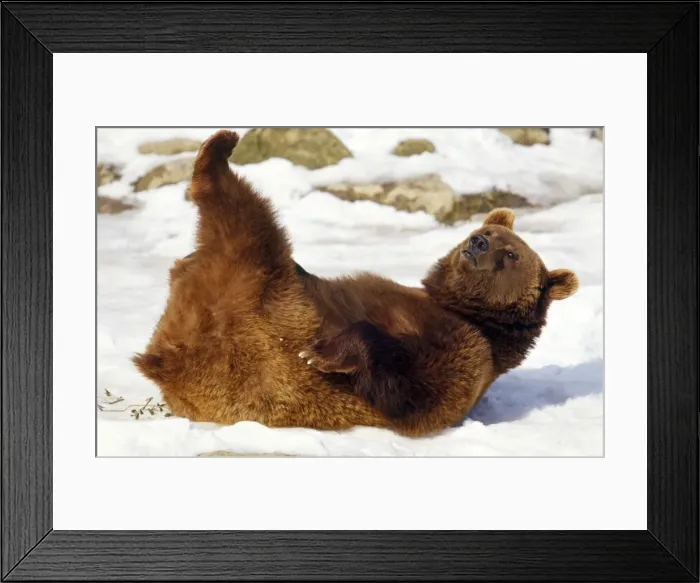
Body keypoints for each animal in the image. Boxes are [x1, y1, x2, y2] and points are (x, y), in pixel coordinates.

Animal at [133, 129, 579, 437]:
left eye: (511, 253)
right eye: (485, 230)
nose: (479, 242)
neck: (465, 311)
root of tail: (164, 358)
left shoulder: (465, 352)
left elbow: (415, 392)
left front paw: (321, 354)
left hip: (256, 289)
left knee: (244, 219)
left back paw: (217, 152)